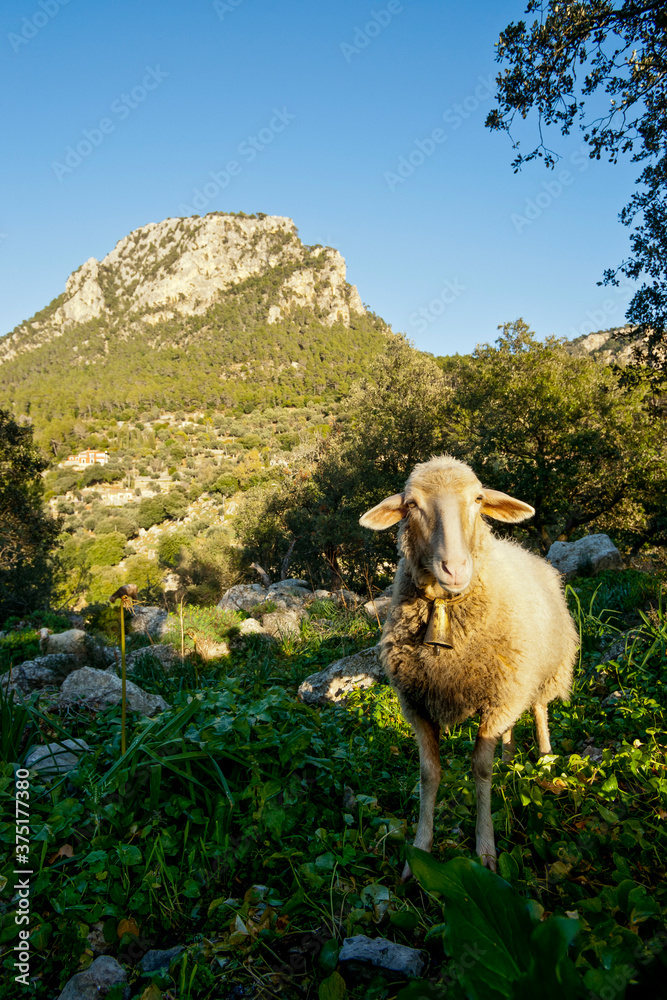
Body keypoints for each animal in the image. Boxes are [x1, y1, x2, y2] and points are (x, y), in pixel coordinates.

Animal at [360, 455, 577, 875]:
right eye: (412, 505)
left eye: (478, 499)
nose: (455, 568)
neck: (445, 607)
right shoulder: (417, 704)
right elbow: (430, 774)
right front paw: (419, 852)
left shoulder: (499, 696)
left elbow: (480, 769)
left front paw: (486, 850)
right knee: (512, 727)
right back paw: (510, 758)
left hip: (543, 670)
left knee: (539, 710)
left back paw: (544, 760)